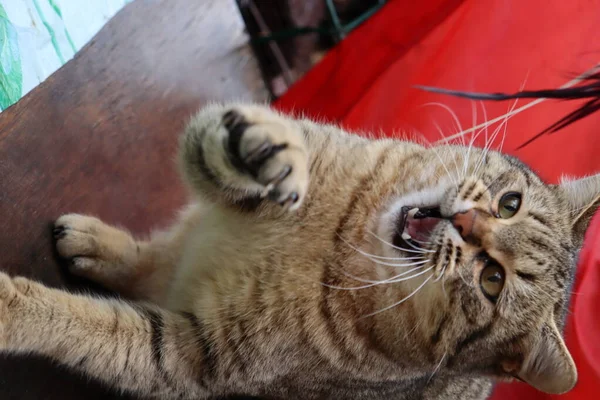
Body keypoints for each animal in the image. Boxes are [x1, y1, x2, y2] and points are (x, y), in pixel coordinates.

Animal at [2, 104, 596, 400]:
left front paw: (12, 309)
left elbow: (87, 326)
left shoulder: (186, 357)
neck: (340, 236)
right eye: (510, 203)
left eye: (492, 280)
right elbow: (213, 142)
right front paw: (263, 151)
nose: (469, 224)